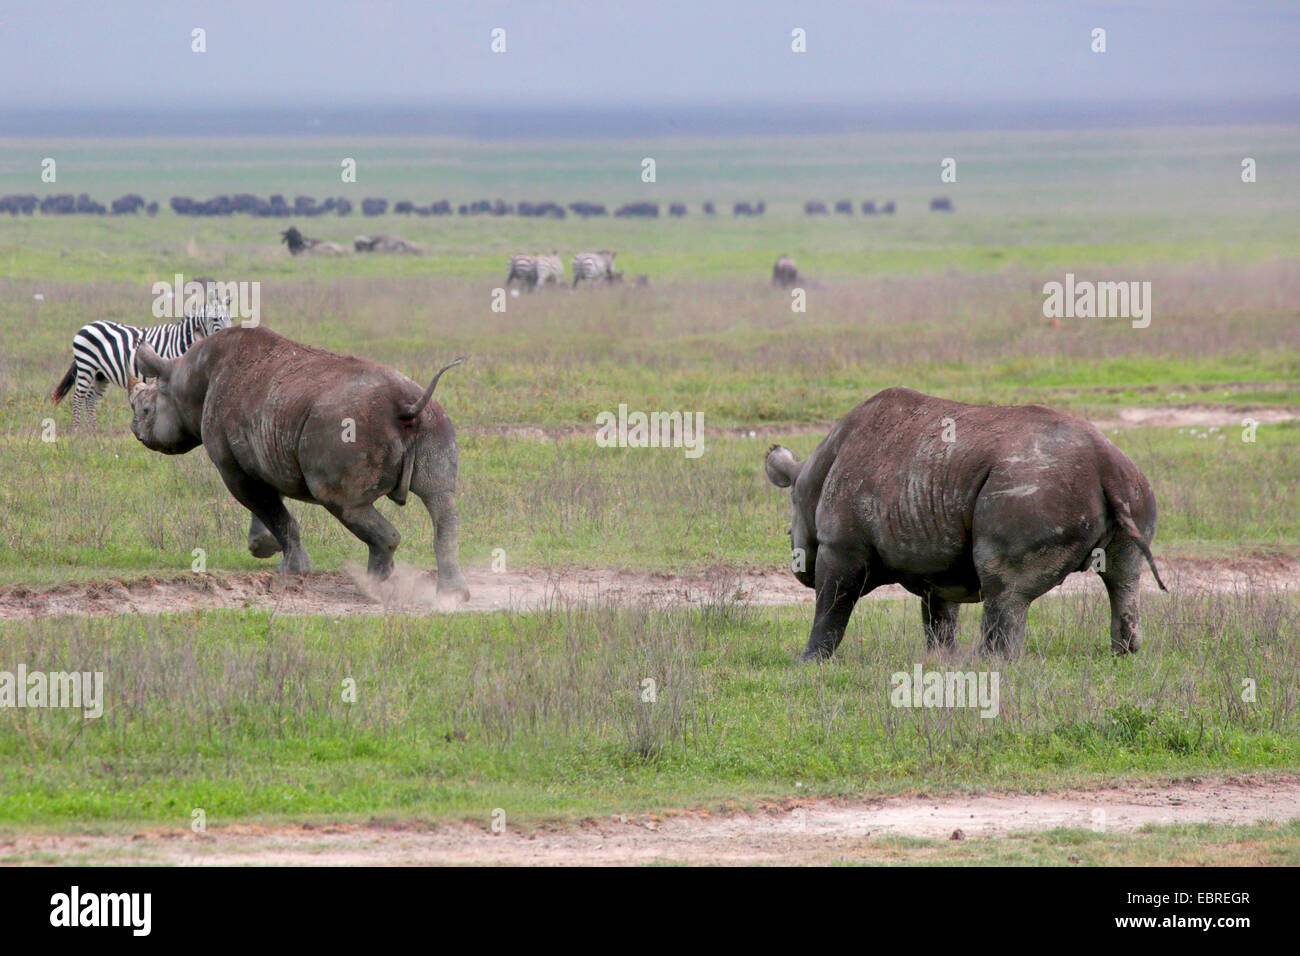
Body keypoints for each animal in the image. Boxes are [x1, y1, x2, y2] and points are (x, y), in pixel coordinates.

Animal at [50, 300, 235, 424]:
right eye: (215, 318)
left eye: (231, 318)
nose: (228, 336)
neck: (183, 341)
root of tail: (88, 325)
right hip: (86, 366)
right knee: (78, 397)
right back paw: (77, 432)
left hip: (101, 374)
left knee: (91, 398)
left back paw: (92, 433)